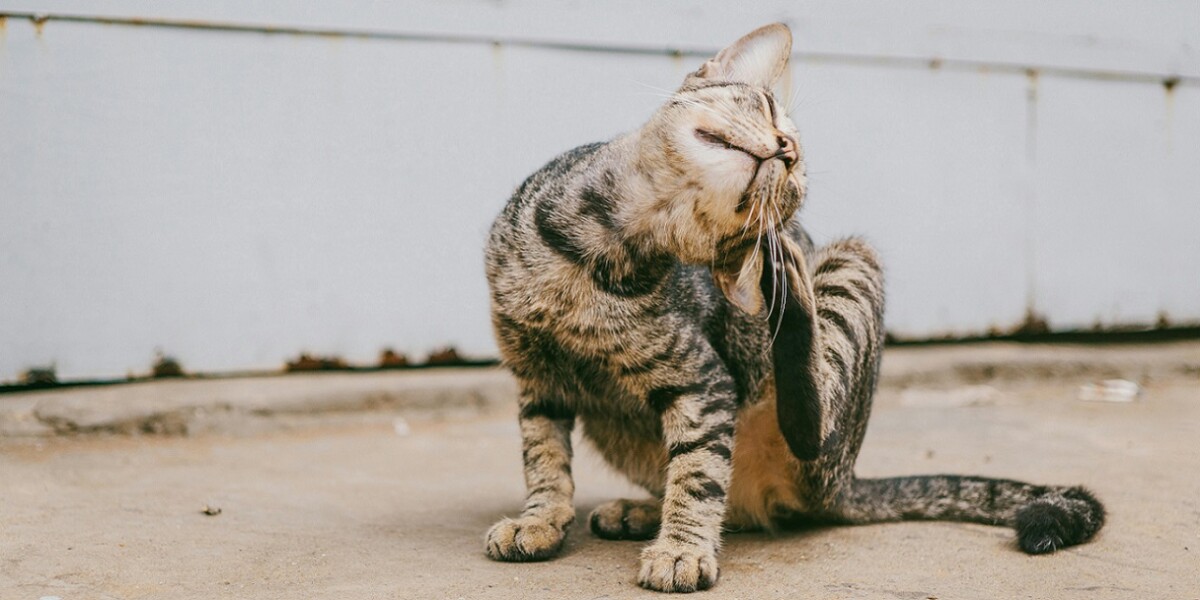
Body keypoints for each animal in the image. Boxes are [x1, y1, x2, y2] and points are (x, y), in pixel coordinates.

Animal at [480, 22, 1104, 590]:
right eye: (768, 108)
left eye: (794, 179)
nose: (787, 148)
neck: (594, 250)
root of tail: (845, 480)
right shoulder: (537, 379)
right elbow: (545, 461)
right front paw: (539, 520)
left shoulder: (704, 382)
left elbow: (699, 472)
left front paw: (682, 549)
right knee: (723, 497)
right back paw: (640, 510)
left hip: (849, 280)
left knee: (806, 423)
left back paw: (785, 278)